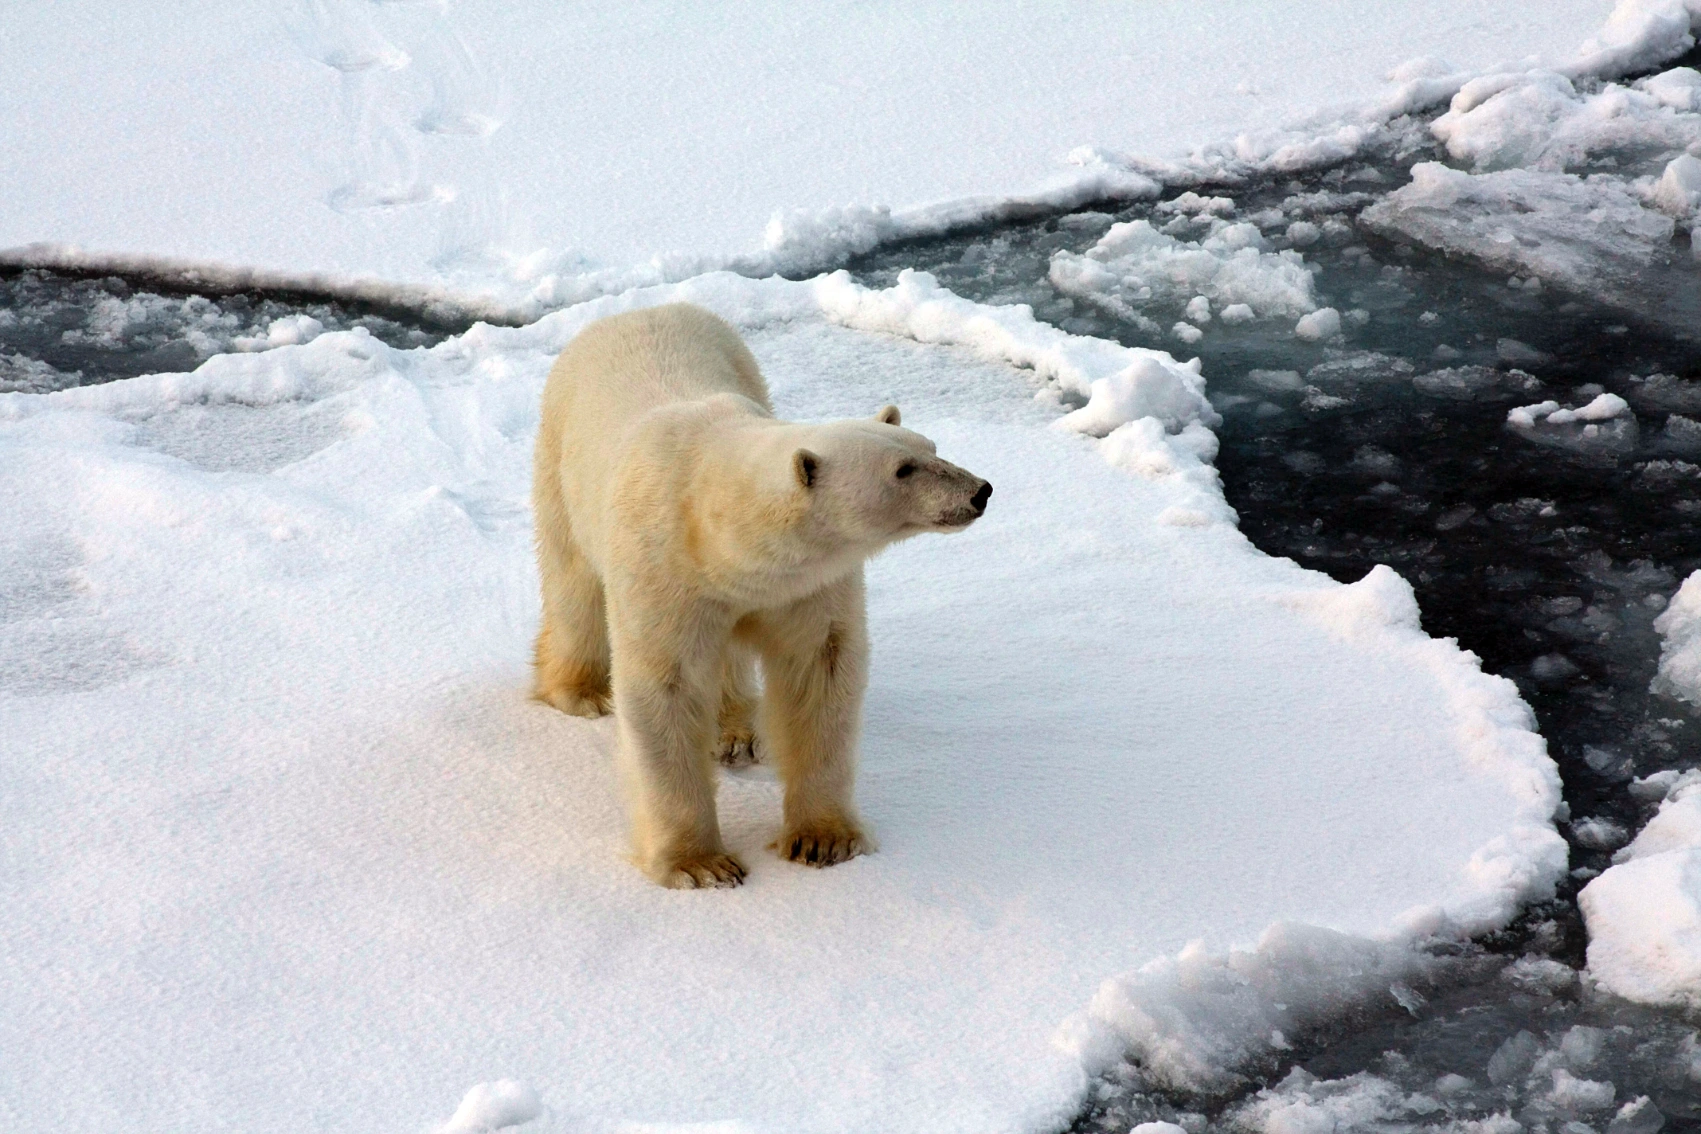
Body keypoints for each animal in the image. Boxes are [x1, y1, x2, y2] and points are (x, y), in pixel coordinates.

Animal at [531, 303, 992, 889]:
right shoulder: (660, 569)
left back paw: (734, 732)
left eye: (930, 446)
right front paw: (701, 864)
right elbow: (665, 686)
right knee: (574, 583)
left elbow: (819, 670)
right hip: (560, 456)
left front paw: (823, 839)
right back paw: (581, 690)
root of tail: (643, 309)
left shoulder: (804, 586)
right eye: (902, 470)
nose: (980, 490)